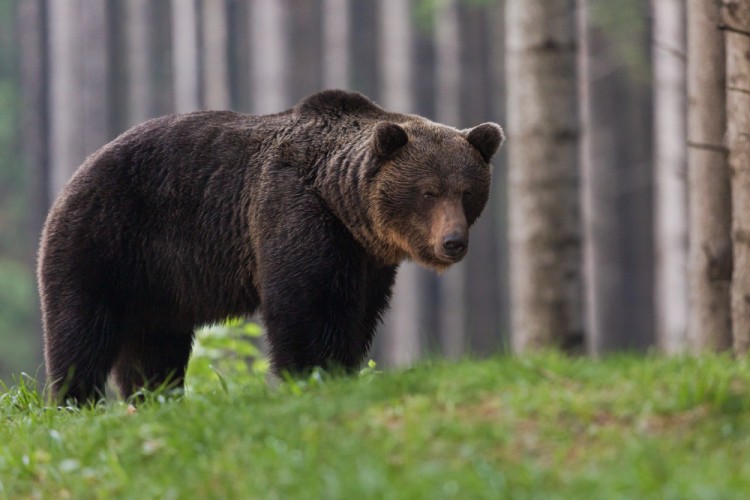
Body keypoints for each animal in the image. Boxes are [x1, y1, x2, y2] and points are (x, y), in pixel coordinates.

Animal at [36, 89, 506, 402]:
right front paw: (310, 374)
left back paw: (156, 397)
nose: (453, 242)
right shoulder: (294, 212)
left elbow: (359, 314)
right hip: (103, 239)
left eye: (467, 192)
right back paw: (77, 399)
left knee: (154, 345)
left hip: (159, 283)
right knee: (81, 328)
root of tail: (75, 173)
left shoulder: (365, 258)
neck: (343, 203)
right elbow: (304, 305)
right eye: (428, 192)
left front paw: (345, 366)